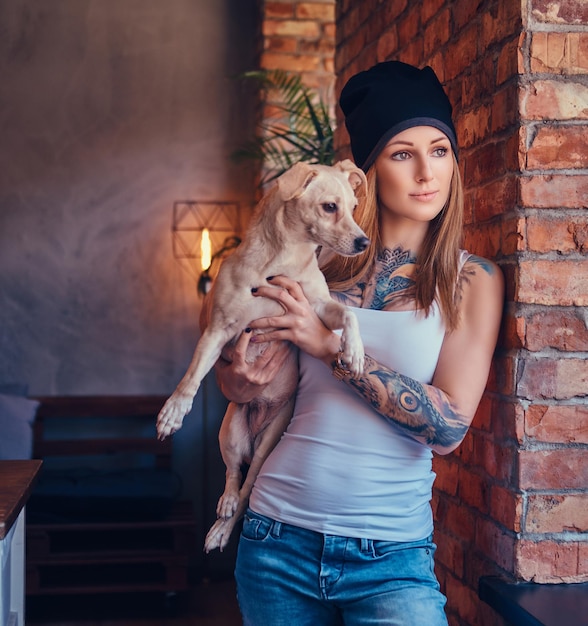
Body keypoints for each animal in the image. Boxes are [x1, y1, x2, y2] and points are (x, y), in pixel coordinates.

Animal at [156, 161, 368, 552]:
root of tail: (254, 436)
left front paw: (355, 351)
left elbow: (349, 314)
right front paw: (173, 413)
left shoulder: (316, 308)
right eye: (330, 207)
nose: (364, 242)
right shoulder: (218, 330)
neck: (284, 262)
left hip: (268, 445)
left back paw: (223, 528)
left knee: (248, 489)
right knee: (232, 474)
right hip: (229, 431)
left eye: (354, 207)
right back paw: (222, 508)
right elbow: (192, 377)